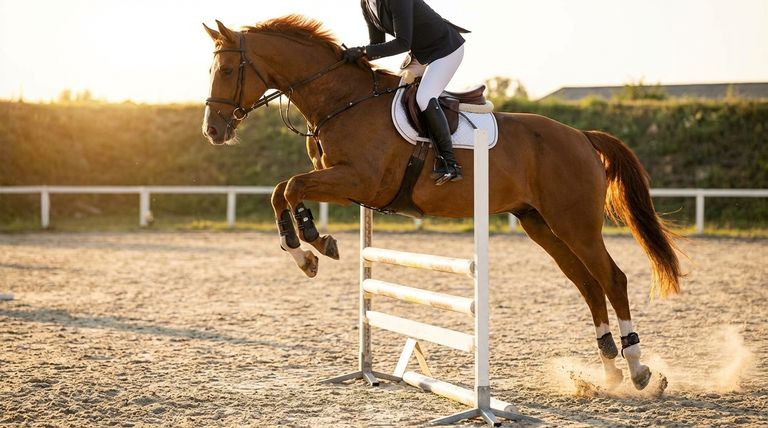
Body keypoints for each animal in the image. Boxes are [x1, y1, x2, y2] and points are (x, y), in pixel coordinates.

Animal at [201, 15, 682, 392]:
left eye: (224, 69)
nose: (213, 131)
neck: (342, 101)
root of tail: (581, 136)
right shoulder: (343, 183)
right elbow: (283, 189)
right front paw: (307, 249)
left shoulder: (358, 180)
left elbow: (291, 187)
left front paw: (314, 245)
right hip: (540, 224)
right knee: (588, 285)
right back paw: (609, 373)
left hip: (575, 224)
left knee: (612, 279)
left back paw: (638, 370)